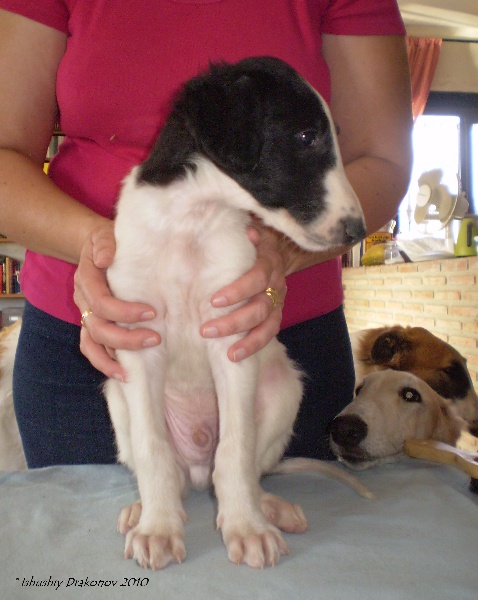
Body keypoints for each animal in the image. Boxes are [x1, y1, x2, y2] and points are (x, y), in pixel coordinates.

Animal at [104, 56, 366, 570]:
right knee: (170, 470)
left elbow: (236, 451)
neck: (190, 221)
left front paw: (246, 527)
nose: (358, 230)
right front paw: (158, 528)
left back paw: (267, 507)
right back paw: (145, 508)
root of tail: (196, 467)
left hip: (283, 389)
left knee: (243, 467)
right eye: (306, 136)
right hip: (116, 396)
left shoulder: (233, 336)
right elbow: (153, 448)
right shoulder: (139, 344)